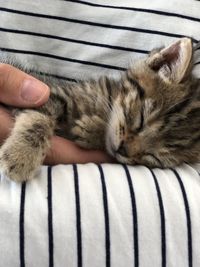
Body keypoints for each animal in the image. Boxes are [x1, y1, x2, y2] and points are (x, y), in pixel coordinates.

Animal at [0, 37, 199, 182]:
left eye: (154, 157)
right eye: (141, 120)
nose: (124, 151)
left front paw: (94, 130)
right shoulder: (45, 91)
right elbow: (38, 119)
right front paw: (21, 155)